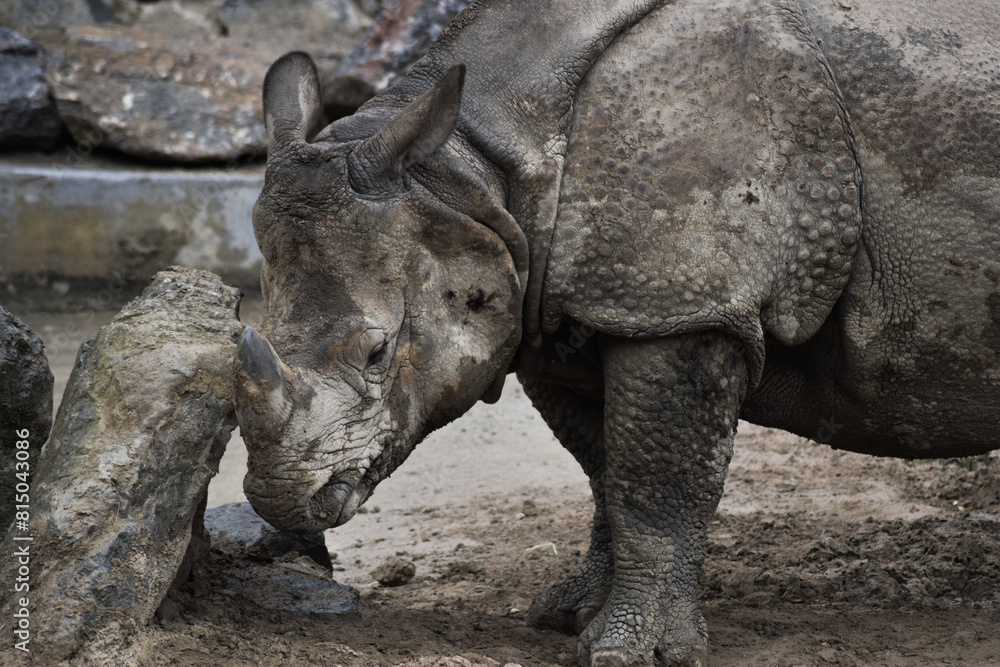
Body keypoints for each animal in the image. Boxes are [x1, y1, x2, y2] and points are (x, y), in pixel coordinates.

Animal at [233, 0, 1000, 664]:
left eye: (378, 352)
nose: (281, 498)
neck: (469, 171)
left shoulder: (679, 302)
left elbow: (655, 480)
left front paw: (633, 651)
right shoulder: (562, 310)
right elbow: (605, 466)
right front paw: (569, 614)